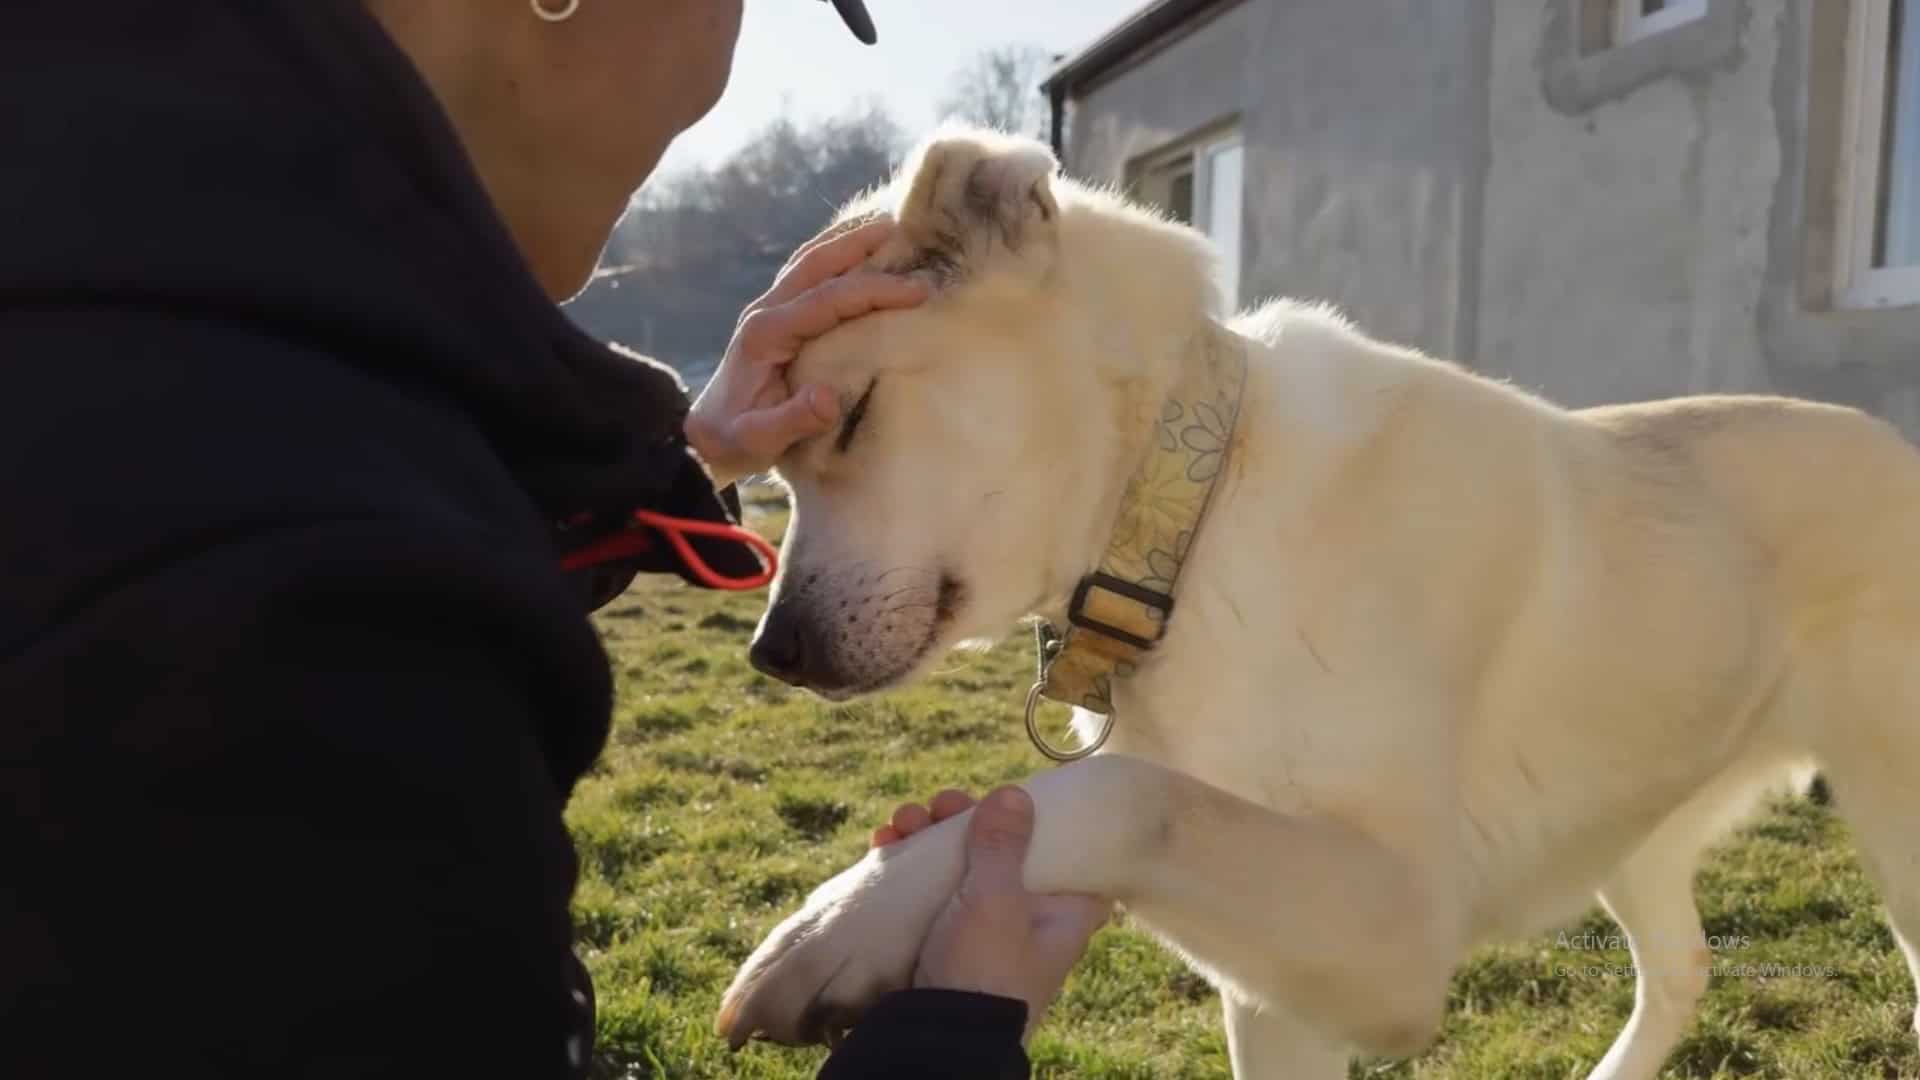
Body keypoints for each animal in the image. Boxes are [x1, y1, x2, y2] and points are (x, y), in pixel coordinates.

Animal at [710, 127, 1920, 1076]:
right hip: (1636, 823)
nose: (774, 654)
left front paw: (844, 919)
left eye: (852, 416)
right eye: (778, 472)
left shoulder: (1399, 936)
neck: (1200, 518)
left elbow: (1124, 795)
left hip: (1896, 840)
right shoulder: (1281, 991)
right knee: (1681, 973)